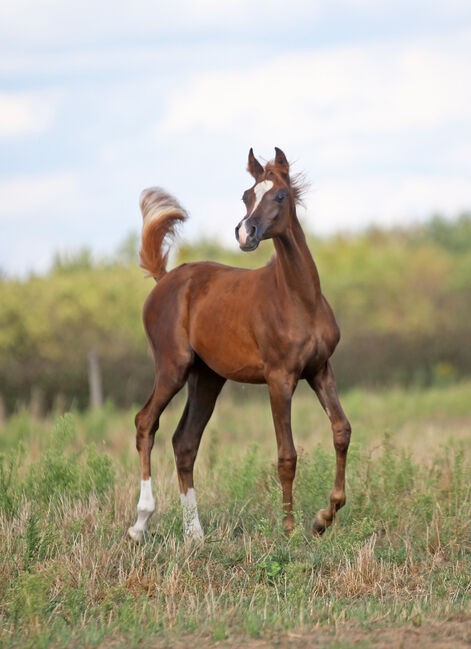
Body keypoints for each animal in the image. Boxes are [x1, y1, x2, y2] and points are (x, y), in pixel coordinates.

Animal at [128, 147, 351, 542]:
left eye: (280, 195)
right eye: (247, 196)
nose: (245, 232)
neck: (299, 299)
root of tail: (165, 279)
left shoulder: (320, 370)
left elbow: (341, 430)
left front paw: (323, 518)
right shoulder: (279, 379)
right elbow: (286, 454)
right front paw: (290, 530)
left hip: (207, 377)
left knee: (185, 442)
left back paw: (195, 535)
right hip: (172, 368)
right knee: (146, 423)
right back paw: (141, 523)